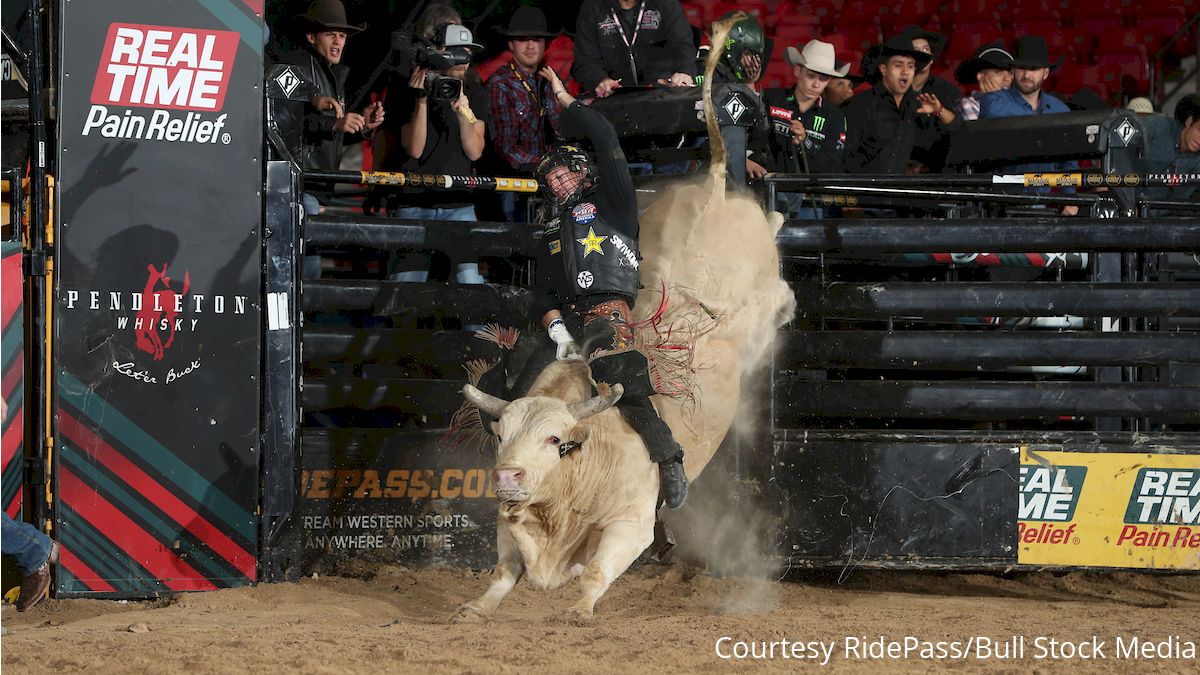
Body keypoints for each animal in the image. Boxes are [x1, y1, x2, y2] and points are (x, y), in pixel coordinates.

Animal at [451, 13, 796, 619]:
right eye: (502, 434)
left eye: (555, 440)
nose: (509, 474)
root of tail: (711, 187)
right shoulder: (510, 522)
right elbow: (503, 569)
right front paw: (477, 608)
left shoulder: (629, 522)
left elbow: (596, 570)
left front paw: (579, 610)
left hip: (757, 301)